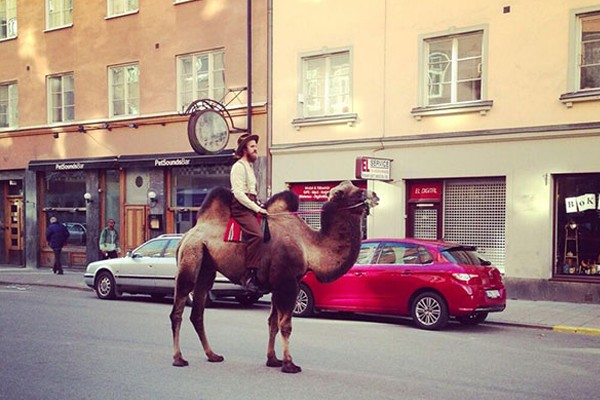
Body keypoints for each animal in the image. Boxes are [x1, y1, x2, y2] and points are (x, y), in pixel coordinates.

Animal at [168, 180, 380, 374]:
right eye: (354, 191)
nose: (375, 195)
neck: (309, 245)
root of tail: (186, 235)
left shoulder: (283, 282)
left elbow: (273, 323)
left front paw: (273, 360)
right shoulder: (286, 281)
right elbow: (285, 325)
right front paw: (289, 364)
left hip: (207, 268)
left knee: (198, 312)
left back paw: (212, 355)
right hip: (191, 255)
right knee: (178, 309)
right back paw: (178, 359)